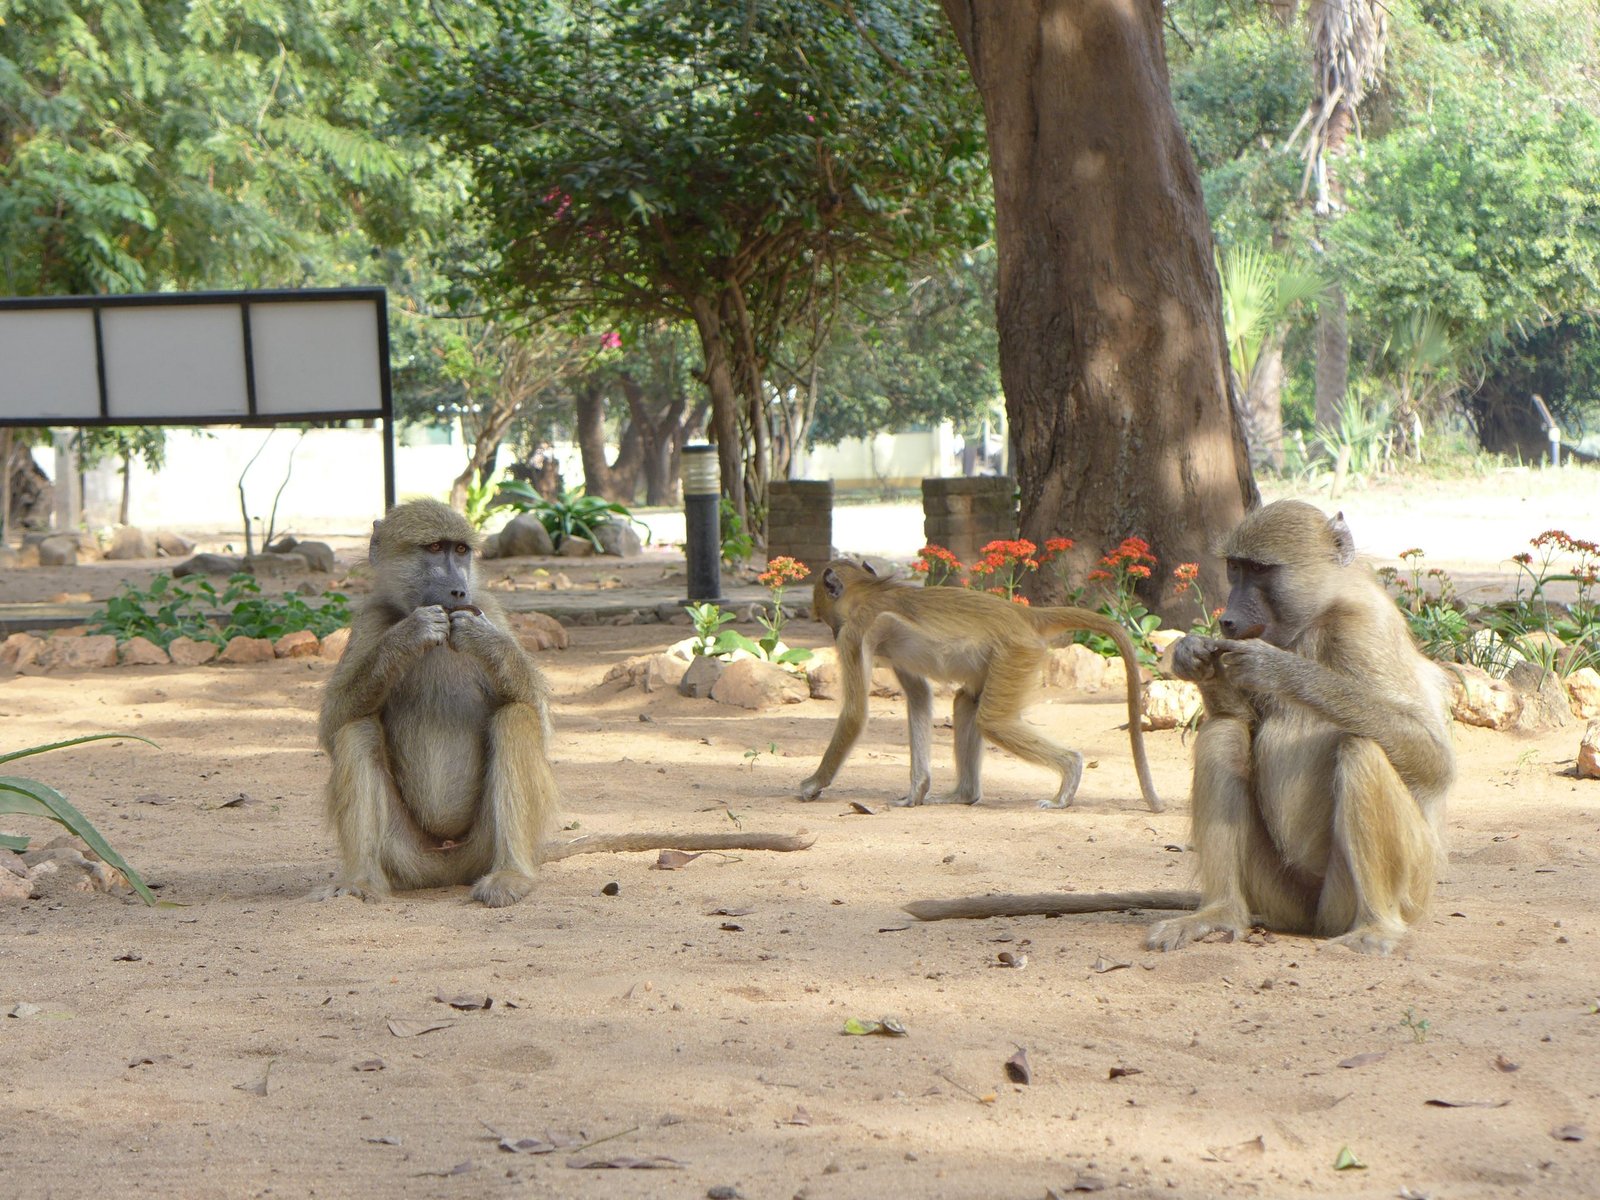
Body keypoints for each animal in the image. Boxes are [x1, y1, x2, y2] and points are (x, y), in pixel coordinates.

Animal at [318, 498, 814, 907]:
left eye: (461, 551)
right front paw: (411, 634)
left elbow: (536, 715)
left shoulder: (491, 610)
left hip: (481, 847)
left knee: (514, 719)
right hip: (405, 855)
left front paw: (480, 640)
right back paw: (361, 882)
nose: (458, 592)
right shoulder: (370, 621)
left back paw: (511, 877)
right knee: (356, 730)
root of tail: (446, 867)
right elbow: (333, 723)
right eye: (435, 548)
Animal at [798, 560, 1163, 812]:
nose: (830, 631)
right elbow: (919, 697)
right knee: (966, 704)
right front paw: (916, 791)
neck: (869, 591)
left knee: (992, 720)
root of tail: (1025, 616)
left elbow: (855, 714)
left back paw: (1068, 774)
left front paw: (813, 783)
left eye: (827, 620)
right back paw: (964, 794)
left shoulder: (853, 633)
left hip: (1016, 652)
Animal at [901, 501, 1454, 956]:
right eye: (1235, 568)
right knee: (1223, 736)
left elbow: (1434, 760)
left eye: (1259, 570)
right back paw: (1219, 915)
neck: (1313, 620)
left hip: (1369, 895)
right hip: (1279, 893)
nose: (1227, 621)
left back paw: (1377, 927)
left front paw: (1274, 667)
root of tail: (1308, 919)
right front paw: (1194, 655)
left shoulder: (1365, 627)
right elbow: (1236, 722)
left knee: (1362, 746)